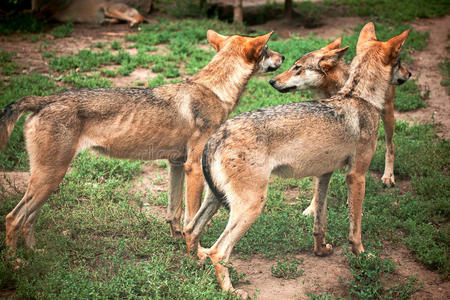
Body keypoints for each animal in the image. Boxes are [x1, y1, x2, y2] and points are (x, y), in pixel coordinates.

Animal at [0, 31, 284, 255]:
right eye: (268, 49)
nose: (283, 57)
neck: (214, 90)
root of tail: (44, 99)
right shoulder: (193, 167)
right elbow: (192, 217)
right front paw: (192, 250)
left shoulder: (176, 164)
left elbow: (174, 212)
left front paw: (176, 241)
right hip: (50, 178)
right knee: (13, 218)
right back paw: (16, 265)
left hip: (48, 182)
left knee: (28, 219)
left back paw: (35, 254)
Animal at [268, 37, 412, 216]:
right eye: (293, 66)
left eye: (297, 67)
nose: (271, 81)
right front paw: (313, 208)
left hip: (388, 117)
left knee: (390, 145)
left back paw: (388, 176)